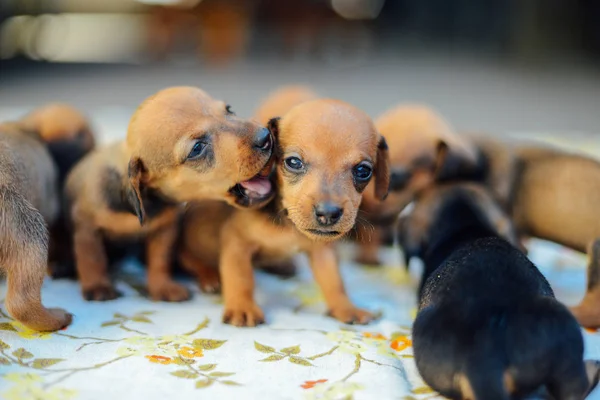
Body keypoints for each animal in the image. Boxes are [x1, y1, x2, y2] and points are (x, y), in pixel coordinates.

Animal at [64, 86, 274, 302]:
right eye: (197, 148)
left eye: (229, 109)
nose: (266, 137)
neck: (146, 203)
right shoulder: (86, 226)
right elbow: (92, 258)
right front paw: (97, 286)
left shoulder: (165, 230)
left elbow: (159, 260)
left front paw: (162, 287)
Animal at [180, 98, 392, 326]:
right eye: (293, 162)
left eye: (363, 171)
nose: (327, 214)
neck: (289, 223)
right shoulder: (237, 243)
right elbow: (240, 277)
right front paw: (242, 308)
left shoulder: (323, 251)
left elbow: (334, 280)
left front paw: (345, 307)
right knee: (192, 261)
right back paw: (209, 276)